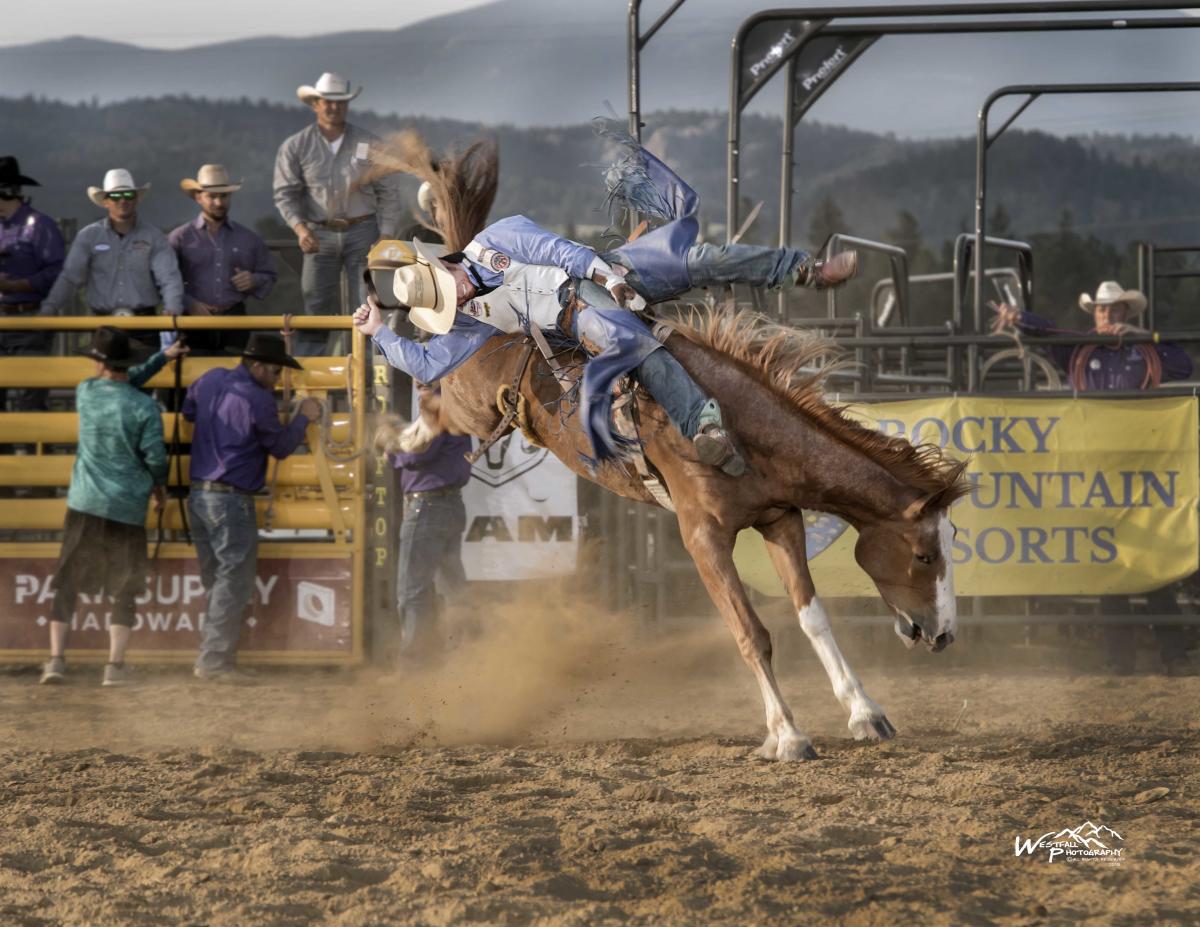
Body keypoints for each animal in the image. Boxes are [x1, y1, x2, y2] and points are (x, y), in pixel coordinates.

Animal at [427, 312, 969, 758]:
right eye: (924, 556)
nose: (945, 633)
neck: (738, 428)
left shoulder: (781, 520)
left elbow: (812, 618)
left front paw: (864, 712)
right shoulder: (703, 538)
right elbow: (751, 634)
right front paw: (788, 735)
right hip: (464, 403)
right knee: (430, 393)